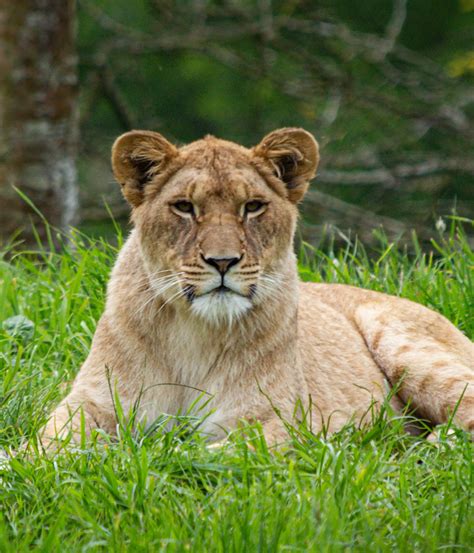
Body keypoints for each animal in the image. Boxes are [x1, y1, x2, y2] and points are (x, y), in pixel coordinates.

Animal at [40, 127, 474, 446]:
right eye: (184, 207)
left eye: (252, 207)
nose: (222, 262)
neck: (193, 334)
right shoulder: (89, 402)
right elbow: (48, 444)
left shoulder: (280, 420)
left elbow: (203, 456)